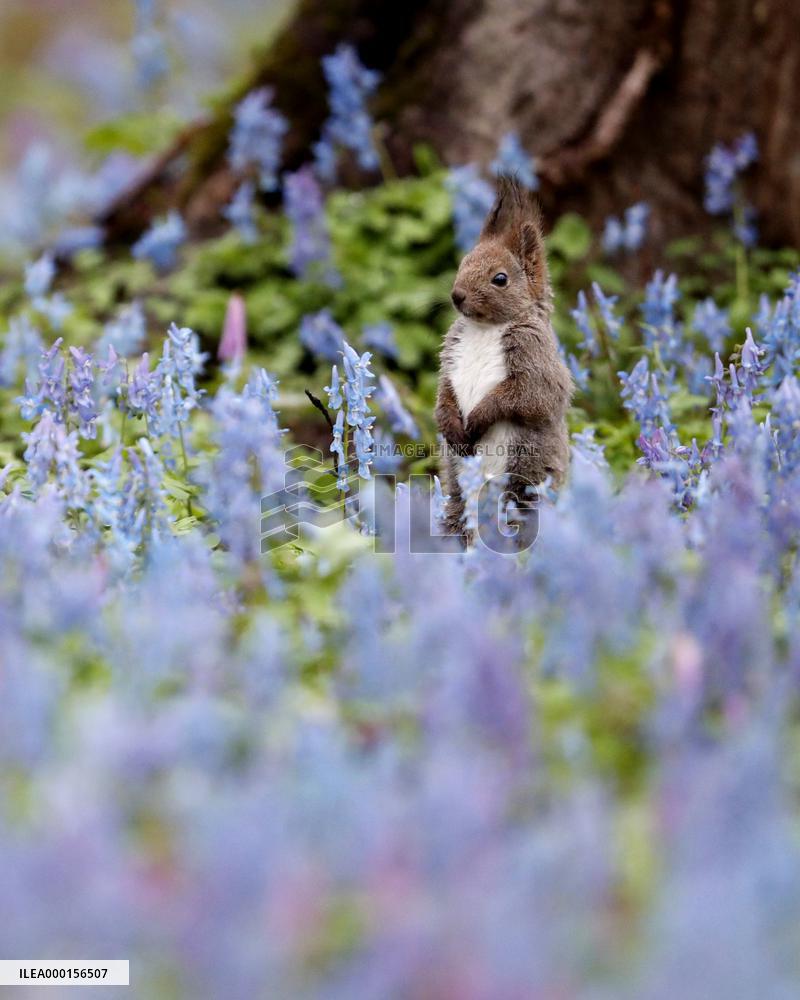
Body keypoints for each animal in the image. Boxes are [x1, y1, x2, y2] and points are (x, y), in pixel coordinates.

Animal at [435, 176, 573, 538]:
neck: (485, 329)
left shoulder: (536, 360)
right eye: (463, 263)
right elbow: (443, 394)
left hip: (526, 478)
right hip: (457, 489)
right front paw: (449, 424)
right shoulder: (450, 358)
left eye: (501, 279)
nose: (456, 296)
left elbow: (526, 397)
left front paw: (477, 420)